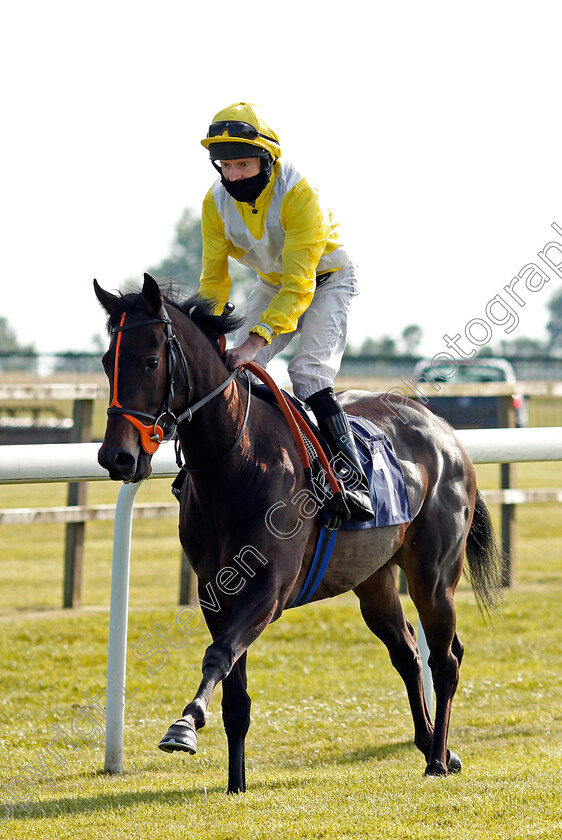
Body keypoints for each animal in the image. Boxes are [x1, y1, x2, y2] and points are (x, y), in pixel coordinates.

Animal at [94, 276, 500, 796]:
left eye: (149, 360)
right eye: (106, 360)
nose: (117, 458)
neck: (239, 462)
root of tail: (444, 429)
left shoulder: (269, 588)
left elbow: (219, 654)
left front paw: (185, 725)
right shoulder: (214, 591)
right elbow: (234, 689)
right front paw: (236, 783)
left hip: (433, 575)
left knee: (444, 659)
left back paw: (435, 760)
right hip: (373, 579)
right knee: (408, 652)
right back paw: (438, 748)